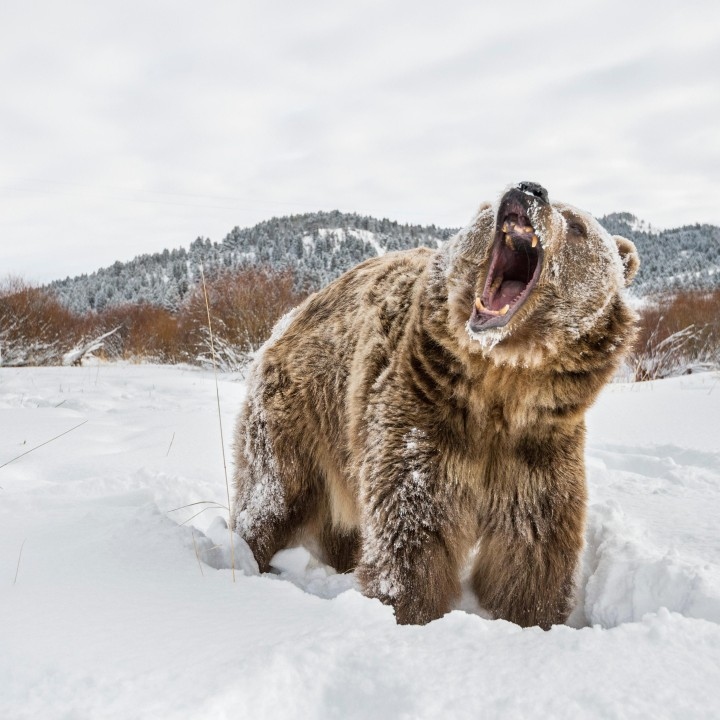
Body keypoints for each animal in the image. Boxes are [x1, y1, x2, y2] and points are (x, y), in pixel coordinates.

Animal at [229, 183, 636, 628]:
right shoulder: (424, 415)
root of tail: (288, 319)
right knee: (274, 492)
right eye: (487, 210)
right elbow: (414, 527)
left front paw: (531, 617)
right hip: (300, 407)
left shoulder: (538, 445)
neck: (501, 384)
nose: (529, 189)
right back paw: (247, 556)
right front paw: (409, 610)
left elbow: (533, 544)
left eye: (579, 226)